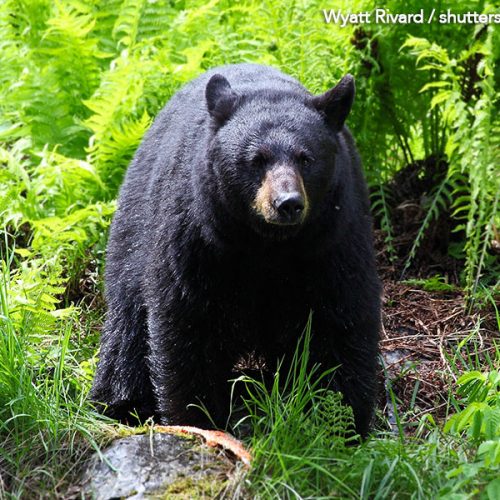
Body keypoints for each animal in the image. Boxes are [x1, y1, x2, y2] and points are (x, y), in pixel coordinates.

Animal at [92, 63, 380, 438]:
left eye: (306, 158)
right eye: (256, 159)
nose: (287, 203)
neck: (267, 245)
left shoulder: (333, 238)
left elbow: (340, 319)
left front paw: (339, 422)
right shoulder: (197, 238)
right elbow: (188, 323)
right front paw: (197, 417)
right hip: (135, 227)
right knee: (127, 321)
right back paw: (123, 402)